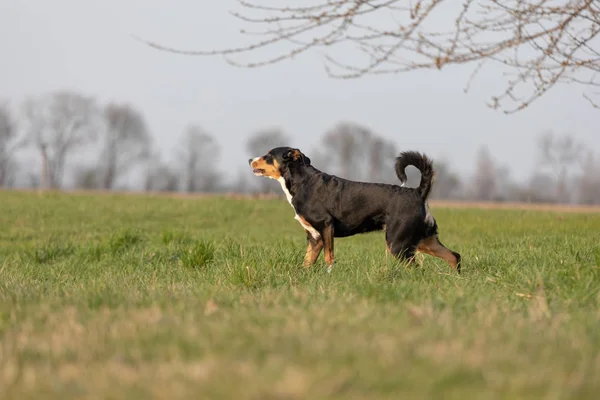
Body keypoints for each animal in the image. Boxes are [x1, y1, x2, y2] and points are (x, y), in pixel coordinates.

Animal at [246, 145, 462, 274]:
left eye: (268, 156)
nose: (249, 159)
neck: (302, 183)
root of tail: (418, 192)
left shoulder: (326, 226)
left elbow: (329, 258)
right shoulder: (314, 237)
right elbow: (307, 261)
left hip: (398, 244)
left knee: (417, 268)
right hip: (423, 239)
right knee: (454, 256)